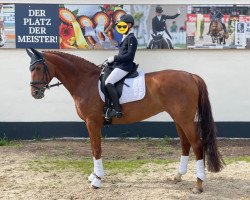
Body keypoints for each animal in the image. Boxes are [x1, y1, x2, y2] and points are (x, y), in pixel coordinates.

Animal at [26, 48, 224, 194]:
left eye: (38, 68)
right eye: (30, 69)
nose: (35, 94)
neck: (84, 81)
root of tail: (191, 76)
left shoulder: (92, 122)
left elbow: (96, 149)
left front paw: (97, 180)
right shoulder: (90, 124)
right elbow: (92, 148)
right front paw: (94, 175)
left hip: (185, 119)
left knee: (197, 144)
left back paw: (198, 185)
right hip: (178, 118)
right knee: (185, 144)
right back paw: (178, 176)